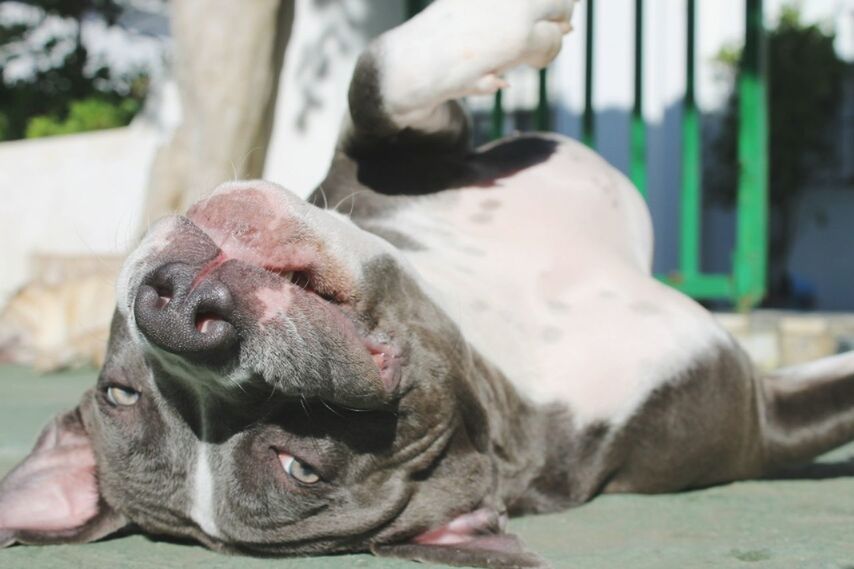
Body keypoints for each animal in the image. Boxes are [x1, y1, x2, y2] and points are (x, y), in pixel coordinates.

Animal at [1, 1, 854, 568]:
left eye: (118, 393)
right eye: (299, 466)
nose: (183, 311)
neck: (496, 335)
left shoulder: (383, 157)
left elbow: (377, 74)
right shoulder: (761, 424)